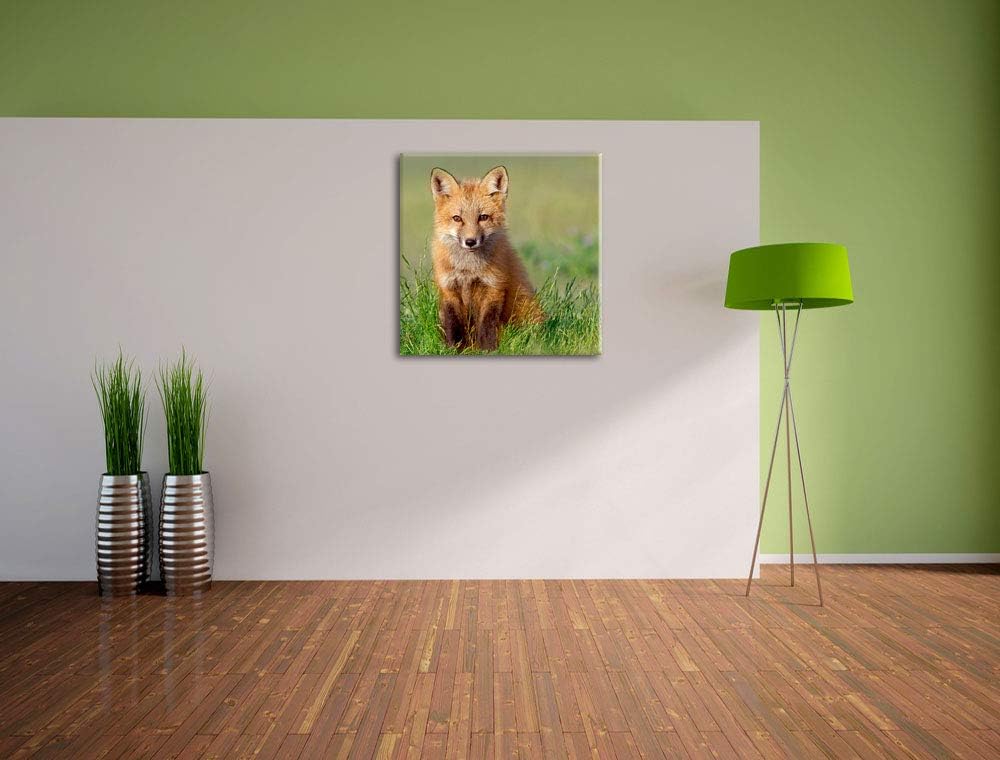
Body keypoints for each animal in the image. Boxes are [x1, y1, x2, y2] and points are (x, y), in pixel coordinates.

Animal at [430, 165, 543, 352]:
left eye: (483, 217)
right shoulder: (448, 289)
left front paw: (487, 350)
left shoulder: (493, 287)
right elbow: (453, 325)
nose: (470, 241)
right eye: (457, 218)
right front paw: (453, 349)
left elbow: (487, 325)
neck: (468, 270)